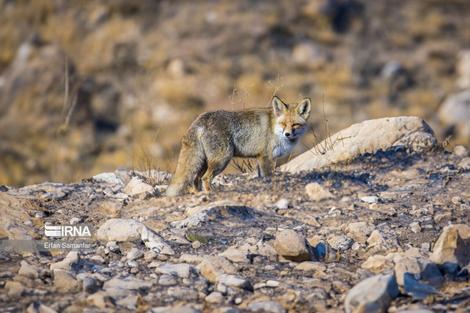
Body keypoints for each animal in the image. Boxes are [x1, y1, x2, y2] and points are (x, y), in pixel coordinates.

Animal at [165, 96, 312, 196]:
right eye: (283, 124)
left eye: (295, 124)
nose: (287, 134)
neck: (274, 127)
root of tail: (200, 119)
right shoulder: (266, 157)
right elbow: (268, 177)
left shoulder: (260, 158)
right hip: (221, 160)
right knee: (205, 178)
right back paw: (210, 193)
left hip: (204, 162)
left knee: (196, 179)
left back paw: (198, 194)